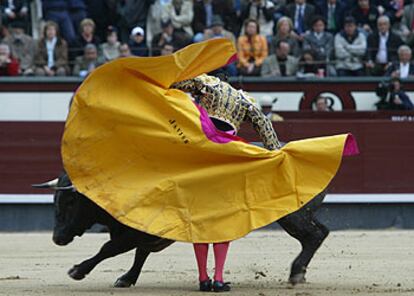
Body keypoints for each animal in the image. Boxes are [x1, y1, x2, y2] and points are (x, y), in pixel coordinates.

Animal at [35, 172, 328, 288]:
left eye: (72, 201)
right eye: (55, 200)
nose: (57, 238)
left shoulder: (136, 232)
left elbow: (109, 248)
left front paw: (77, 271)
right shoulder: (146, 235)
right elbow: (140, 254)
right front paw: (127, 279)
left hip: (292, 215)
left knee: (316, 234)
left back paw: (296, 272)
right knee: (319, 232)